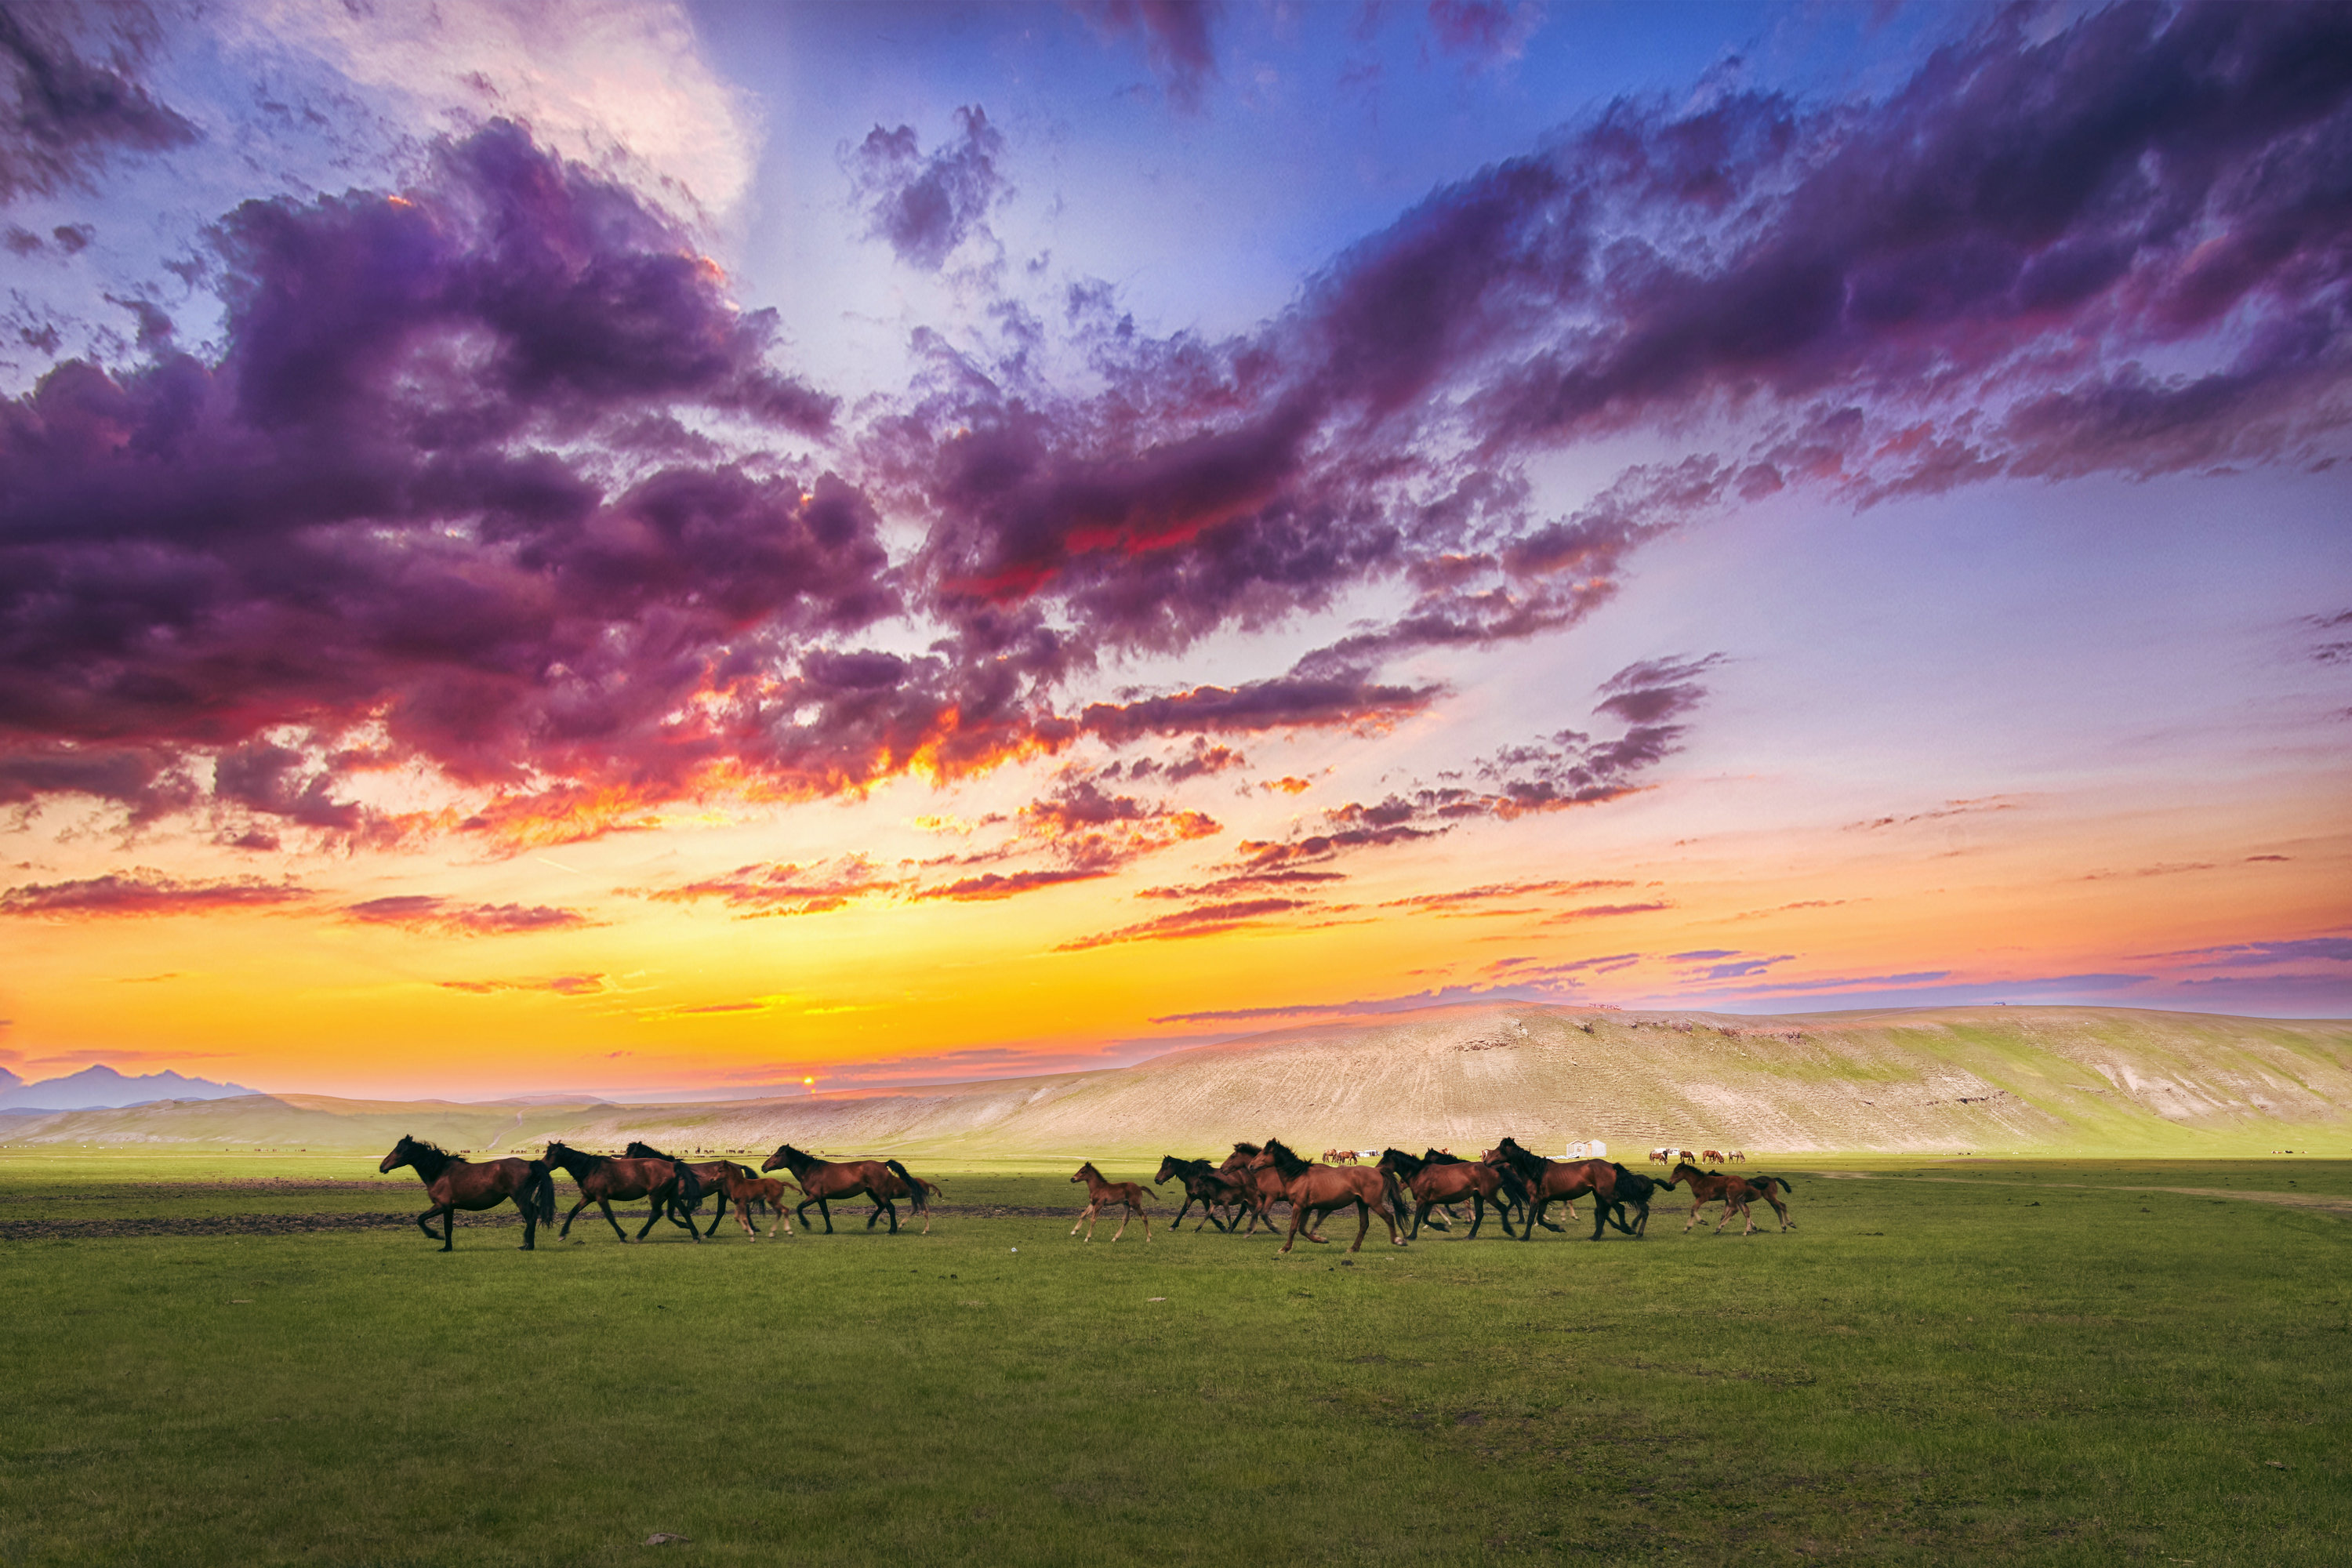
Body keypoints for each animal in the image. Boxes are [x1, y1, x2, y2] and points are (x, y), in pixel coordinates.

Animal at [379, 1133, 557, 1260]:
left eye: (400, 1150)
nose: (382, 1167)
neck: (439, 1171)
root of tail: (530, 1164)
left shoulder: (442, 1206)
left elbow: (422, 1219)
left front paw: (436, 1237)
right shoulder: (449, 1209)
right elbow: (448, 1228)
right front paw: (447, 1247)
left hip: (520, 1199)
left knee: (531, 1217)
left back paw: (528, 1245)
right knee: (535, 1213)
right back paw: (527, 1244)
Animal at [546, 1133, 701, 1241]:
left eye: (551, 1154)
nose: (542, 1165)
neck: (590, 1169)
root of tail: (672, 1166)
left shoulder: (601, 1197)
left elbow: (609, 1216)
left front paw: (622, 1236)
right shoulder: (588, 1197)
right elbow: (573, 1212)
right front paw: (562, 1234)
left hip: (657, 1195)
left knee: (657, 1213)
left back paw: (640, 1235)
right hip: (671, 1194)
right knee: (683, 1211)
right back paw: (695, 1235)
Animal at [762, 1142, 927, 1241]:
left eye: (777, 1155)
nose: (763, 1167)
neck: (810, 1170)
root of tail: (883, 1164)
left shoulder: (814, 1196)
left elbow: (799, 1208)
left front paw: (806, 1224)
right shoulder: (821, 1198)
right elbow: (825, 1214)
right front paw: (828, 1230)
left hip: (880, 1193)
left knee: (890, 1208)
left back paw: (892, 1230)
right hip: (871, 1192)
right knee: (881, 1207)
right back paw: (870, 1224)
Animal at [1242, 1133, 1402, 1260]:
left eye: (1265, 1152)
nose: (1251, 1166)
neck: (1298, 1176)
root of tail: (1378, 1171)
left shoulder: (1298, 1207)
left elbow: (1293, 1228)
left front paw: (1285, 1248)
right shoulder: (1306, 1208)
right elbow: (1302, 1229)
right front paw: (1322, 1240)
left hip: (1373, 1203)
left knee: (1389, 1217)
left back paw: (1398, 1240)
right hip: (1362, 1203)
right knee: (1364, 1225)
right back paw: (1353, 1248)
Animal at [1374, 1147, 1524, 1241]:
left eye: (1384, 1160)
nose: (1376, 1170)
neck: (1419, 1173)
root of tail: (1495, 1168)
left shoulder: (1422, 1200)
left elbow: (1418, 1219)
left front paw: (1412, 1236)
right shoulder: (1429, 1201)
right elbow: (1426, 1219)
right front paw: (1443, 1226)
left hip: (1489, 1195)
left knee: (1503, 1208)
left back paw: (1509, 1230)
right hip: (1478, 1196)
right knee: (1481, 1214)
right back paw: (1470, 1235)